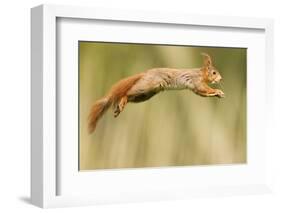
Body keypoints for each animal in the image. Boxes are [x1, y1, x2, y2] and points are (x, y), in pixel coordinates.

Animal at [87, 53, 223, 133]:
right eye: (214, 72)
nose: (221, 79)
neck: (201, 74)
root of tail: (145, 73)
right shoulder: (196, 82)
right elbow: (204, 89)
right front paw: (217, 91)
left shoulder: (195, 88)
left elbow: (203, 93)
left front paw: (218, 94)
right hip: (145, 87)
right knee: (127, 93)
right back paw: (122, 101)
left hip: (145, 95)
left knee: (130, 97)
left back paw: (120, 107)